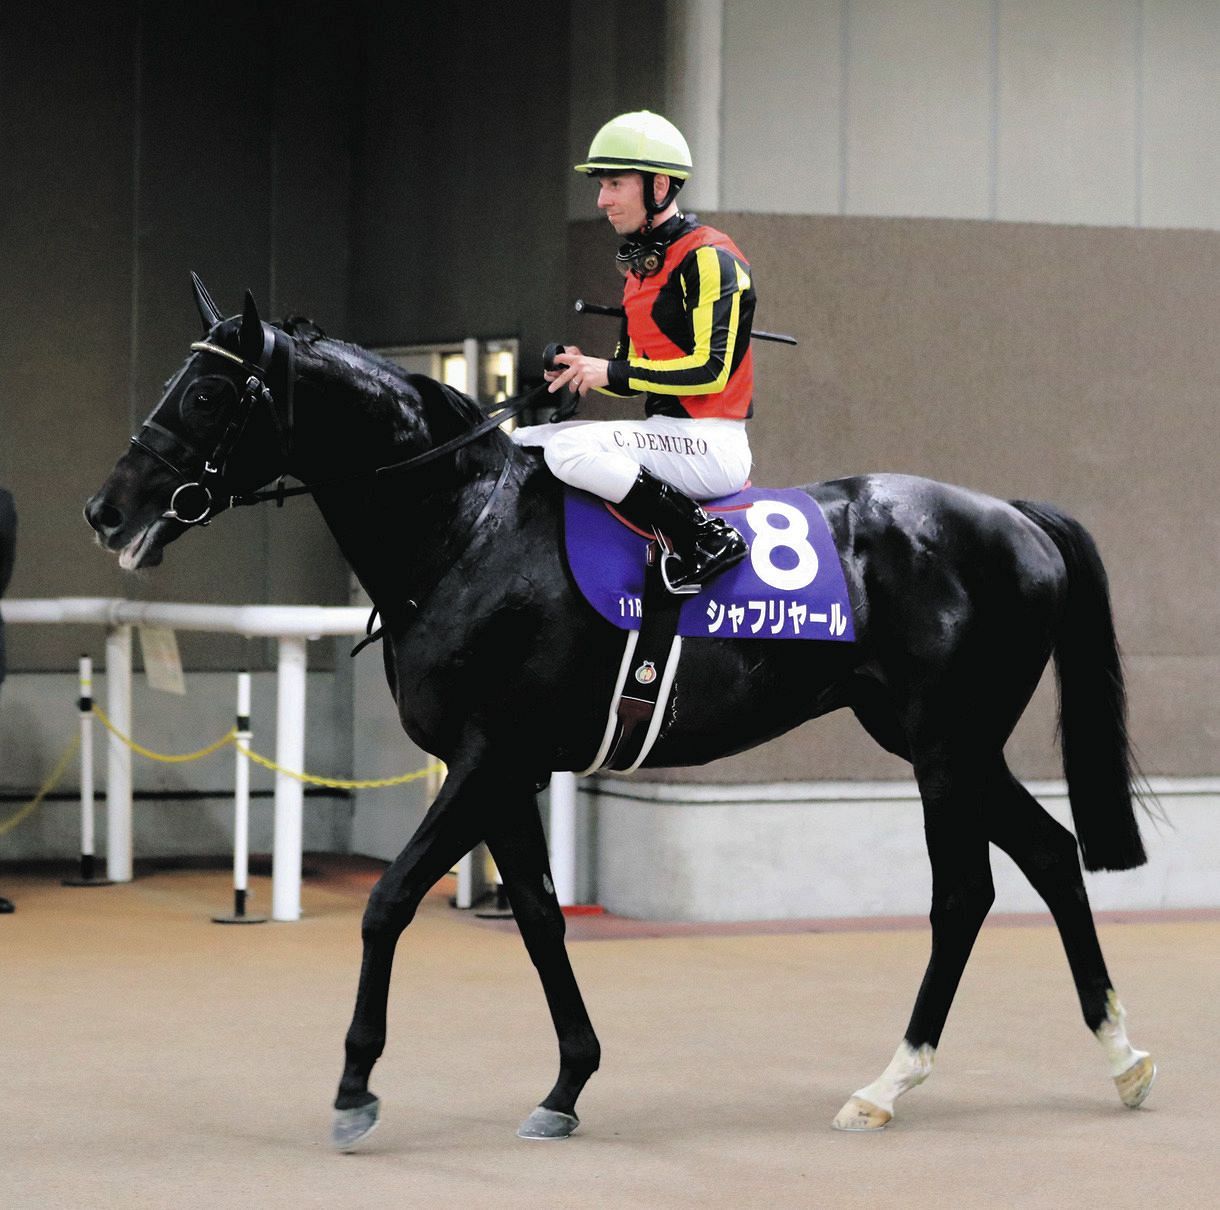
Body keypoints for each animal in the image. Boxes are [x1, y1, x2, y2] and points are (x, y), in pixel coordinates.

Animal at [85, 277, 1156, 1147]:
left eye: (209, 394)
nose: (107, 510)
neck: (468, 529)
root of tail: (1014, 517)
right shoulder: (506, 773)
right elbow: (539, 915)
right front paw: (566, 1085)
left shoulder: (486, 757)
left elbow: (389, 901)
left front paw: (355, 1087)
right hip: (956, 746)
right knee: (1051, 854)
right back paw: (1120, 1057)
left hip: (943, 749)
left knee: (964, 894)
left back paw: (888, 1083)